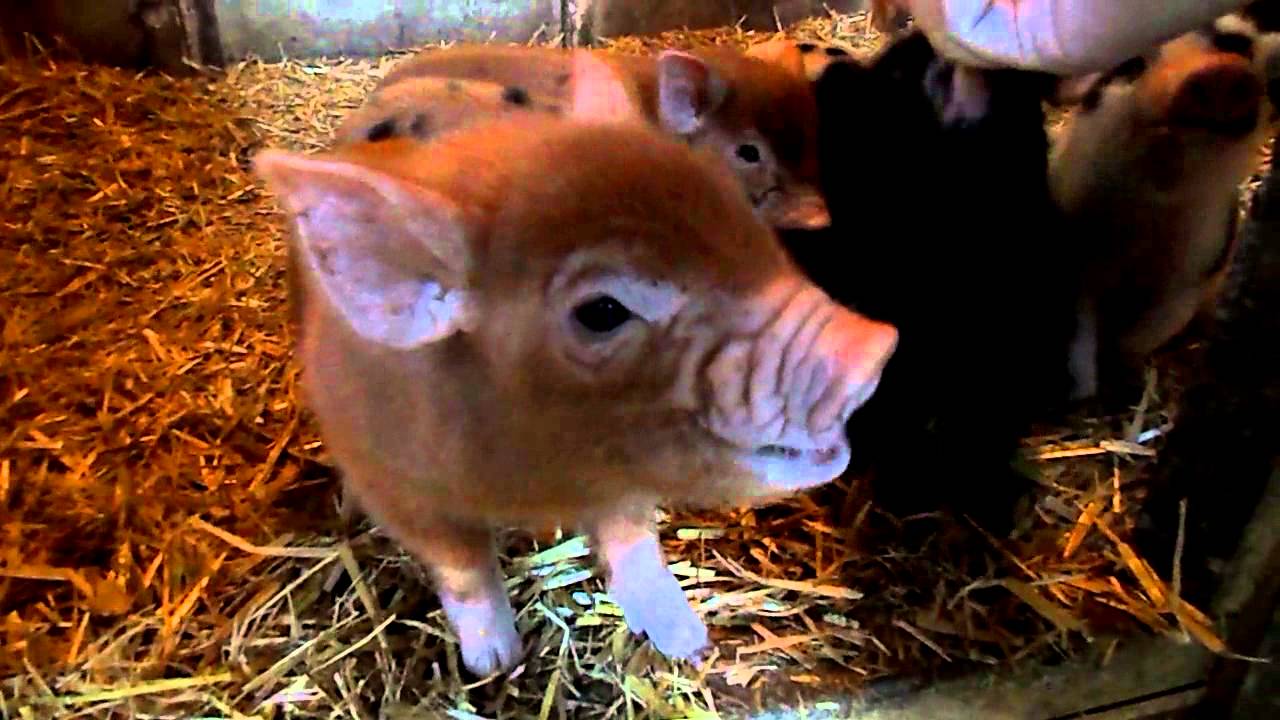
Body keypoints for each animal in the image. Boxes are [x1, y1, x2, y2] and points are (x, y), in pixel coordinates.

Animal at [1051, 19, 1273, 402]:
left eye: (1231, 44)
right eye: (1131, 65)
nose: (1215, 71)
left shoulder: (1197, 266)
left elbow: (1150, 331)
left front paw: (1126, 372)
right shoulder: (1079, 255)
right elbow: (1081, 331)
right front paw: (1085, 393)